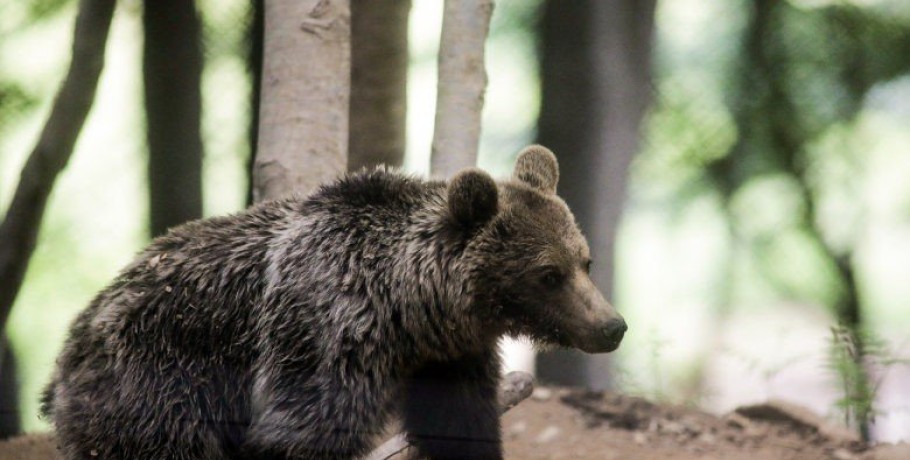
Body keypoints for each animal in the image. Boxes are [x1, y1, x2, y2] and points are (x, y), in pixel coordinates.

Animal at [42, 146, 628, 458]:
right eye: (548, 274)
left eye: (586, 261)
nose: (612, 325)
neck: (410, 311)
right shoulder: (325, 334)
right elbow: (303, 431)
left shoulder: (450, 359)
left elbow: (462, 428)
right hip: (160, 382)